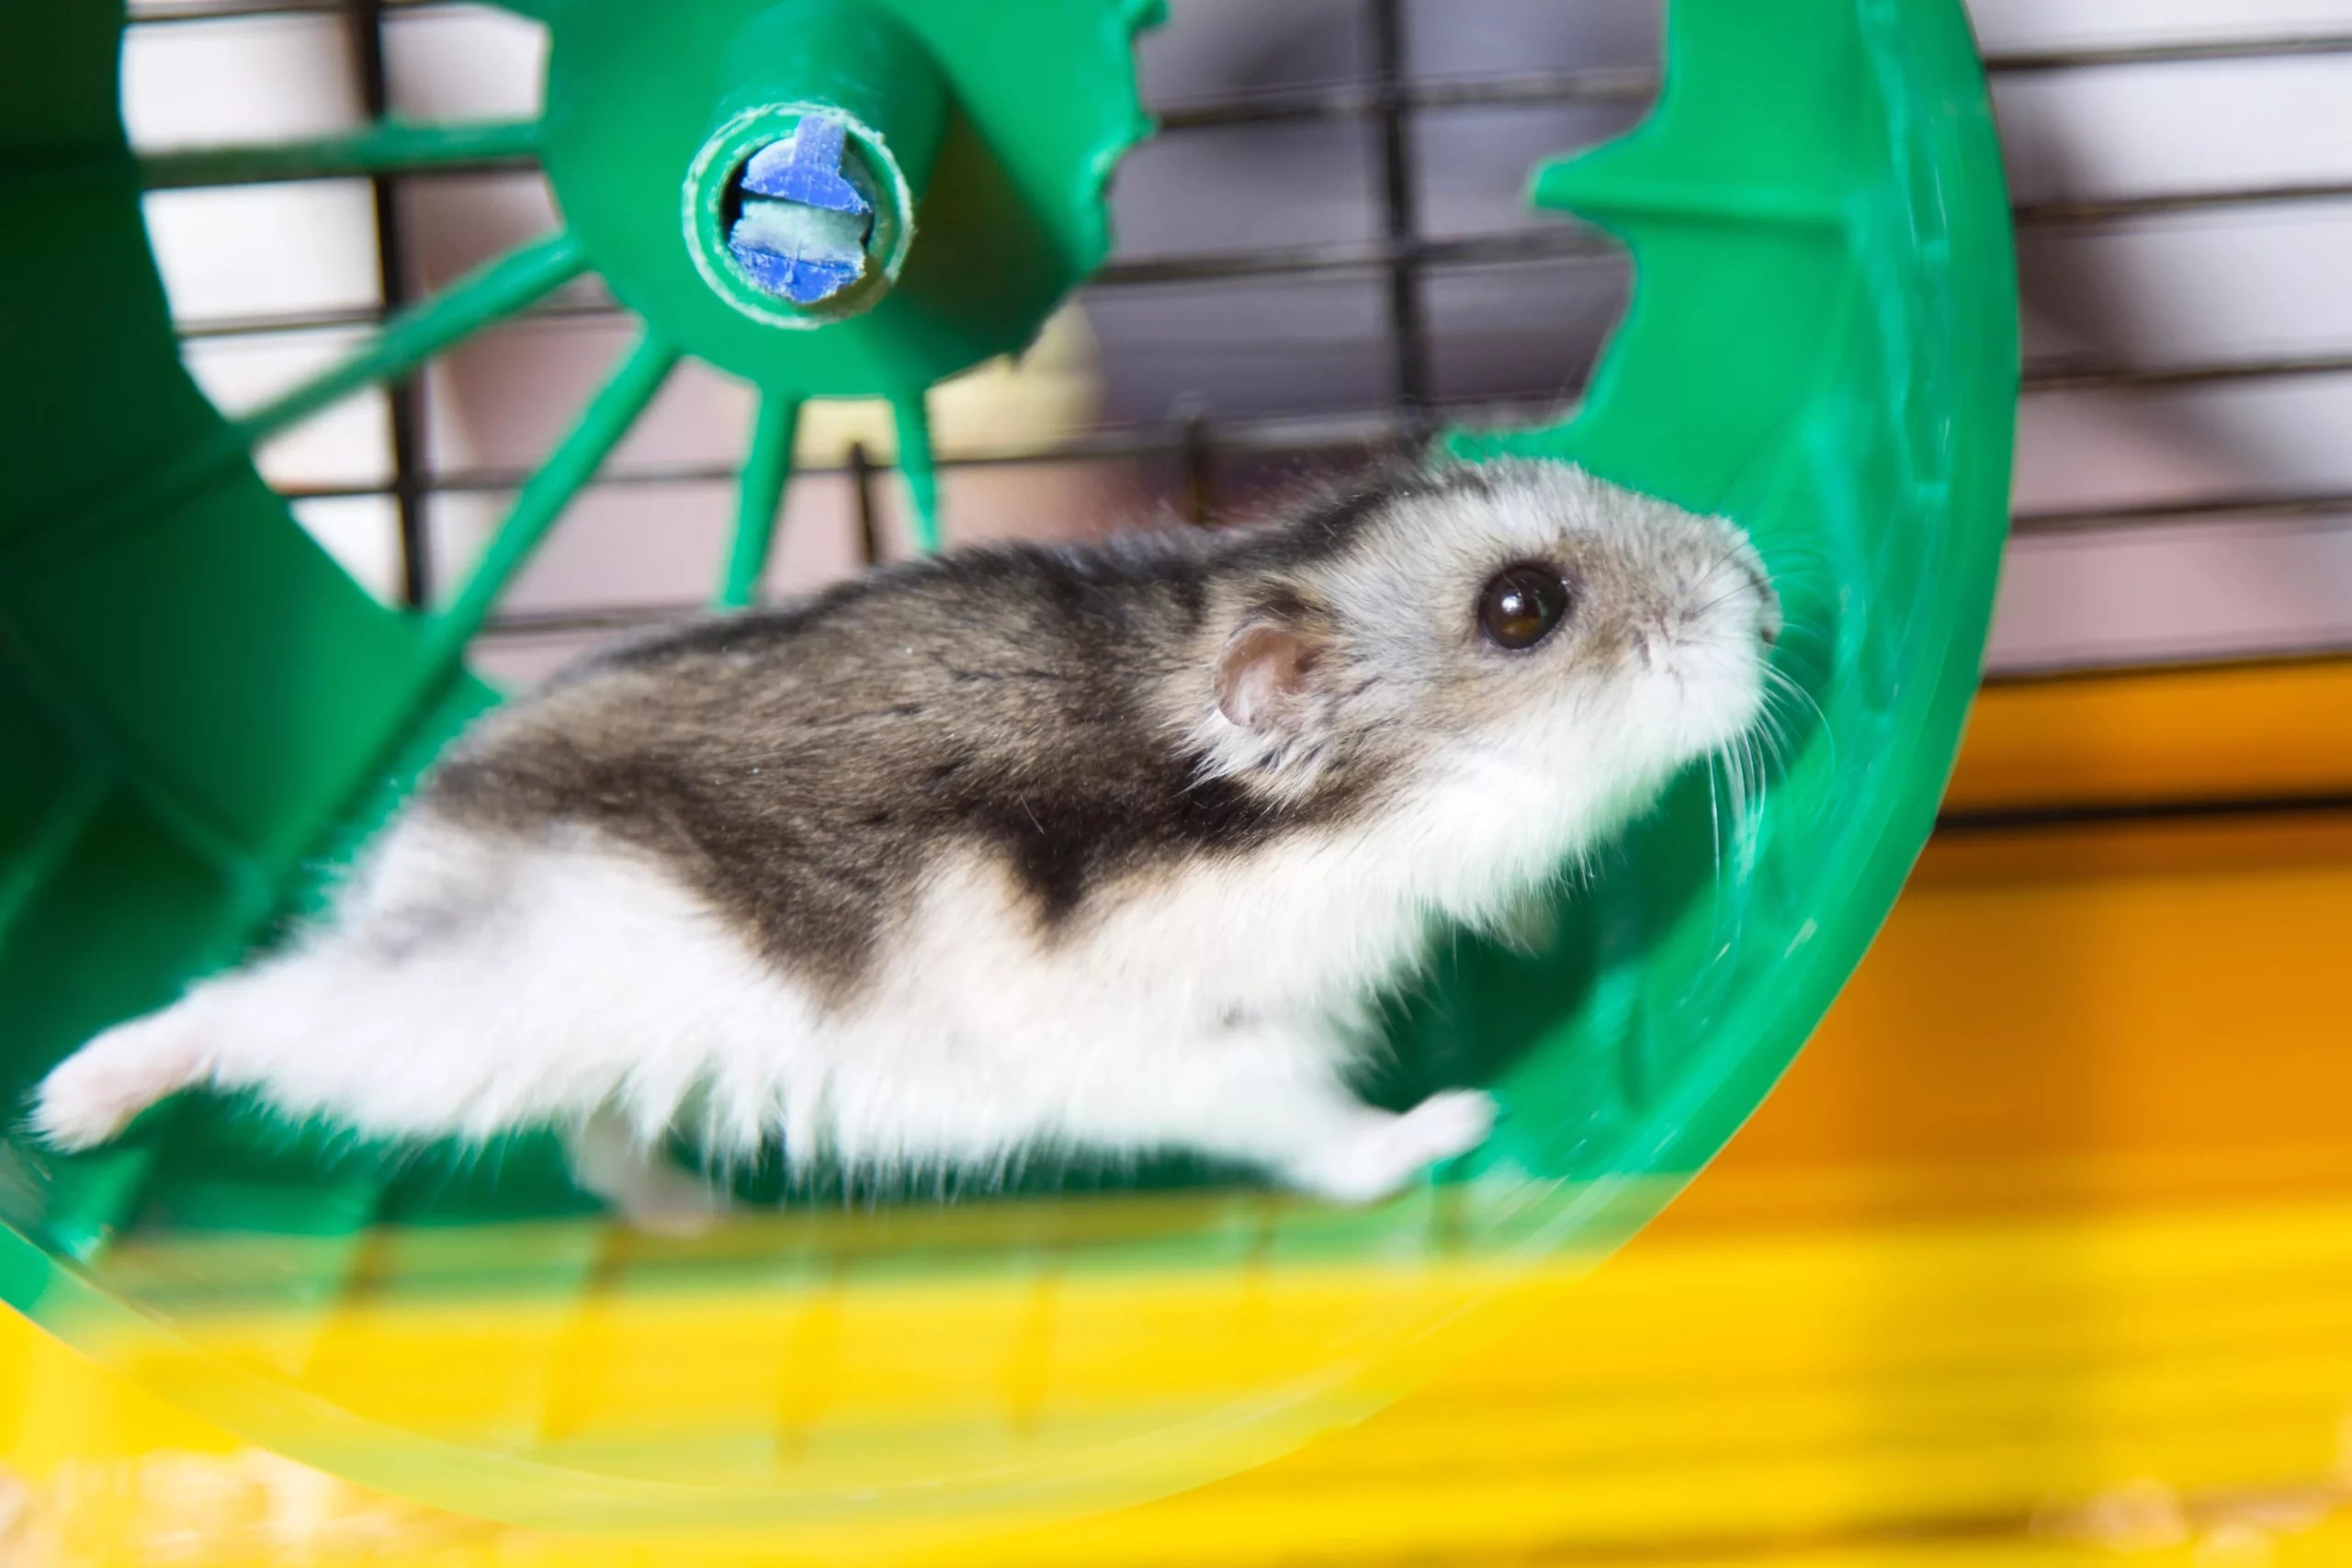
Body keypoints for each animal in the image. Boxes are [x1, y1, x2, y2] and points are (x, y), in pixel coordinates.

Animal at [31, 459, 1777, 1223]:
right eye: (1522, 607)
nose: (1766, 585)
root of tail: (414, 829)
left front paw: (1541, 932)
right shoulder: (1219, 1056)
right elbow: (1324, 1135)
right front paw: (1458, 1120)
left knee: (591, 1141)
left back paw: (704, 1219)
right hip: (437, 1022)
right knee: (252, 1008)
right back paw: (70, 1104)